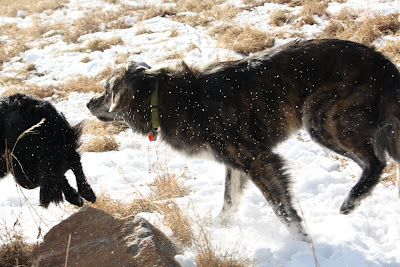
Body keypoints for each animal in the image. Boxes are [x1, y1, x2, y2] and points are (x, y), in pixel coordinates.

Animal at [87, 39, 400, 243]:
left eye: (106, 90)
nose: (88, 103)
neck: (166, 99)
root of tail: (382, 61)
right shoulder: (236, 164)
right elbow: (228, 201)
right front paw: (217, 229)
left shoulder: (258, 160)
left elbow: (283, 211)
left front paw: (303, 244)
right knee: (373, 160)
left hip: (321, 120)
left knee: (376, 160)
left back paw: (352, 200)